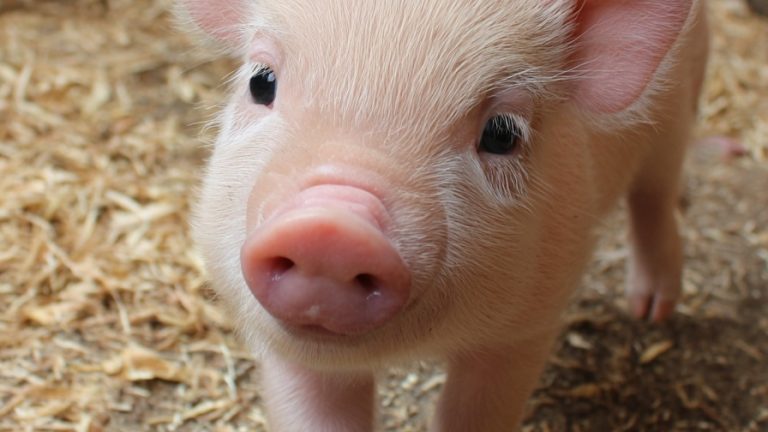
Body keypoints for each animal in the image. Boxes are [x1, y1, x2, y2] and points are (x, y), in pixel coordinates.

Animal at [178, 0, 709, 430]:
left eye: (502, 133)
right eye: (260, 82)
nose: (329, 230)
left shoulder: (526, 323)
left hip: (676, 120)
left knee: (654, 199)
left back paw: (651, 311)